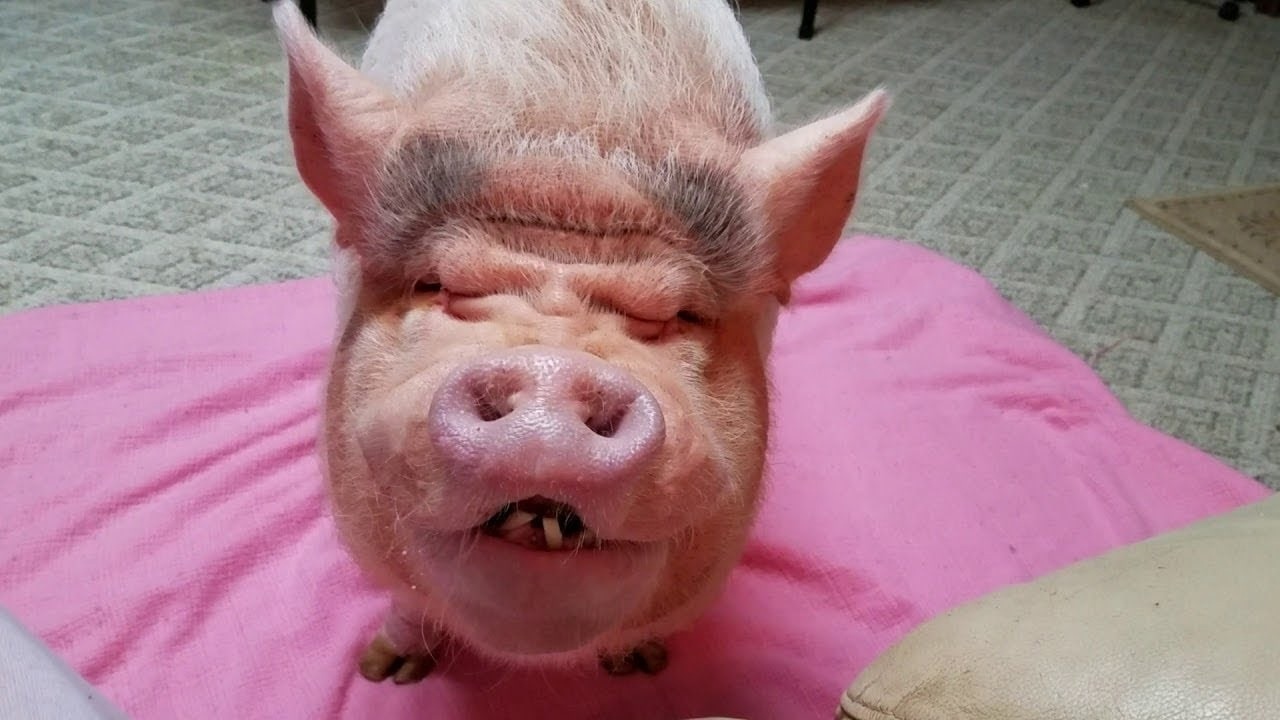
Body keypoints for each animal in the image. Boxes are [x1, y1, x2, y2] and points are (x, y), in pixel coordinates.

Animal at [269, 0, 887, 684]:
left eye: (681, 314)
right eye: (436, 283)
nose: (550, 374)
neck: (579, 146)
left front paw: (641, 668)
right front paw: (382, 674)